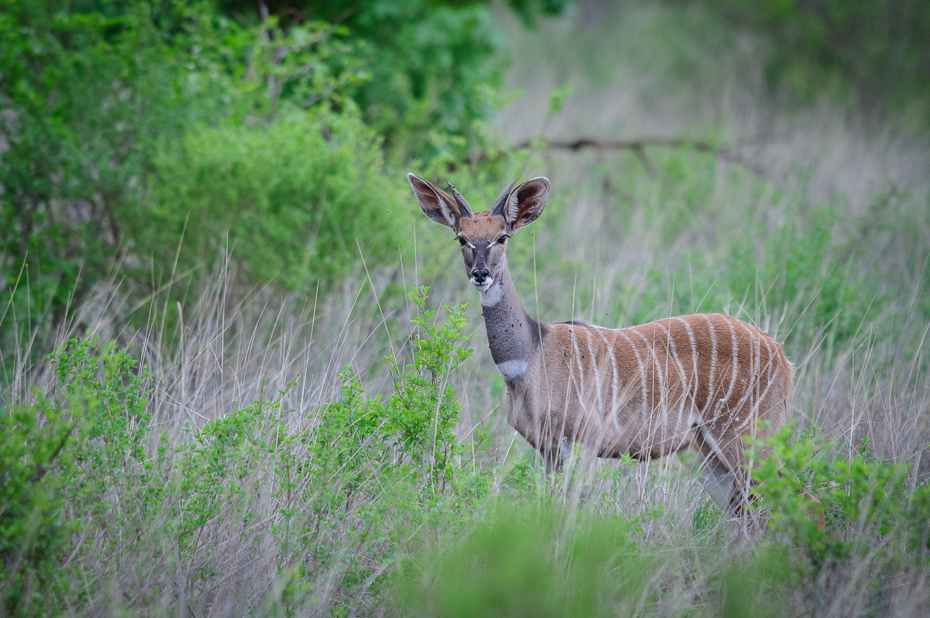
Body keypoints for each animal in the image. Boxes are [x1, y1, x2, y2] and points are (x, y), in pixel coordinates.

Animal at [406, 172, 792, 516]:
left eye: (501, 237)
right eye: (461, 238)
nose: (480, 274)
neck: (532, 356)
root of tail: (783, 358)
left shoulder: (583, 441)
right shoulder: (548, 449)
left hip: (748, 437)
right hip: (703, 451)